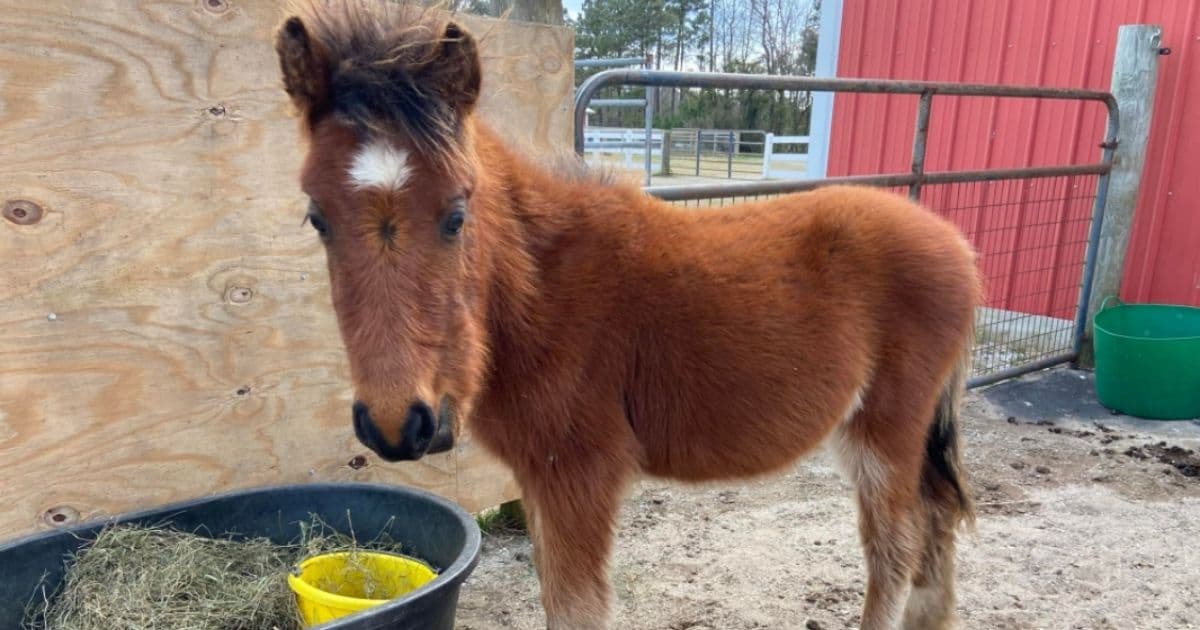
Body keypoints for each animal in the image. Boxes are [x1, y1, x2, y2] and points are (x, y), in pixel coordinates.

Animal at [273, 2, 980, 628]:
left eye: (456, 214)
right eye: (317, 217)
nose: (399, 425)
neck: (539, 290)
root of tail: (956, 245)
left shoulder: (577, 473)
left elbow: (576, 611)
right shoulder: (539, 477)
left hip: (884, 435)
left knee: (894, 553)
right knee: (936, 524)